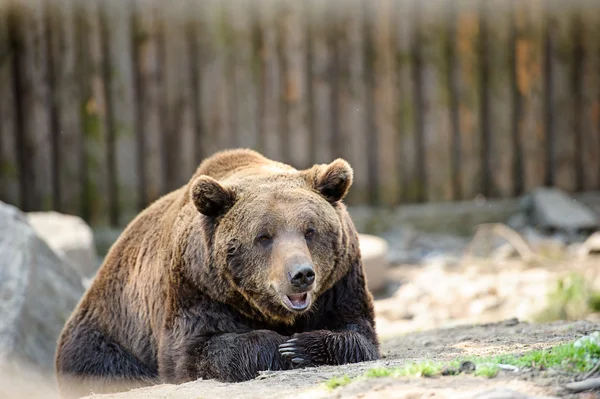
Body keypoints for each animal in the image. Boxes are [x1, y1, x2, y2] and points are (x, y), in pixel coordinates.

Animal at [54, 148, 378, 398]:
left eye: (310, 230)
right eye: (264, 236)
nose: (301, 274)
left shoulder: (340, 282)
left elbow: (357, 333)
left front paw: (299, 346)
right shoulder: (197, 285)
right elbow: (195, 350)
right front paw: (278, 347)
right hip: (108, 335)